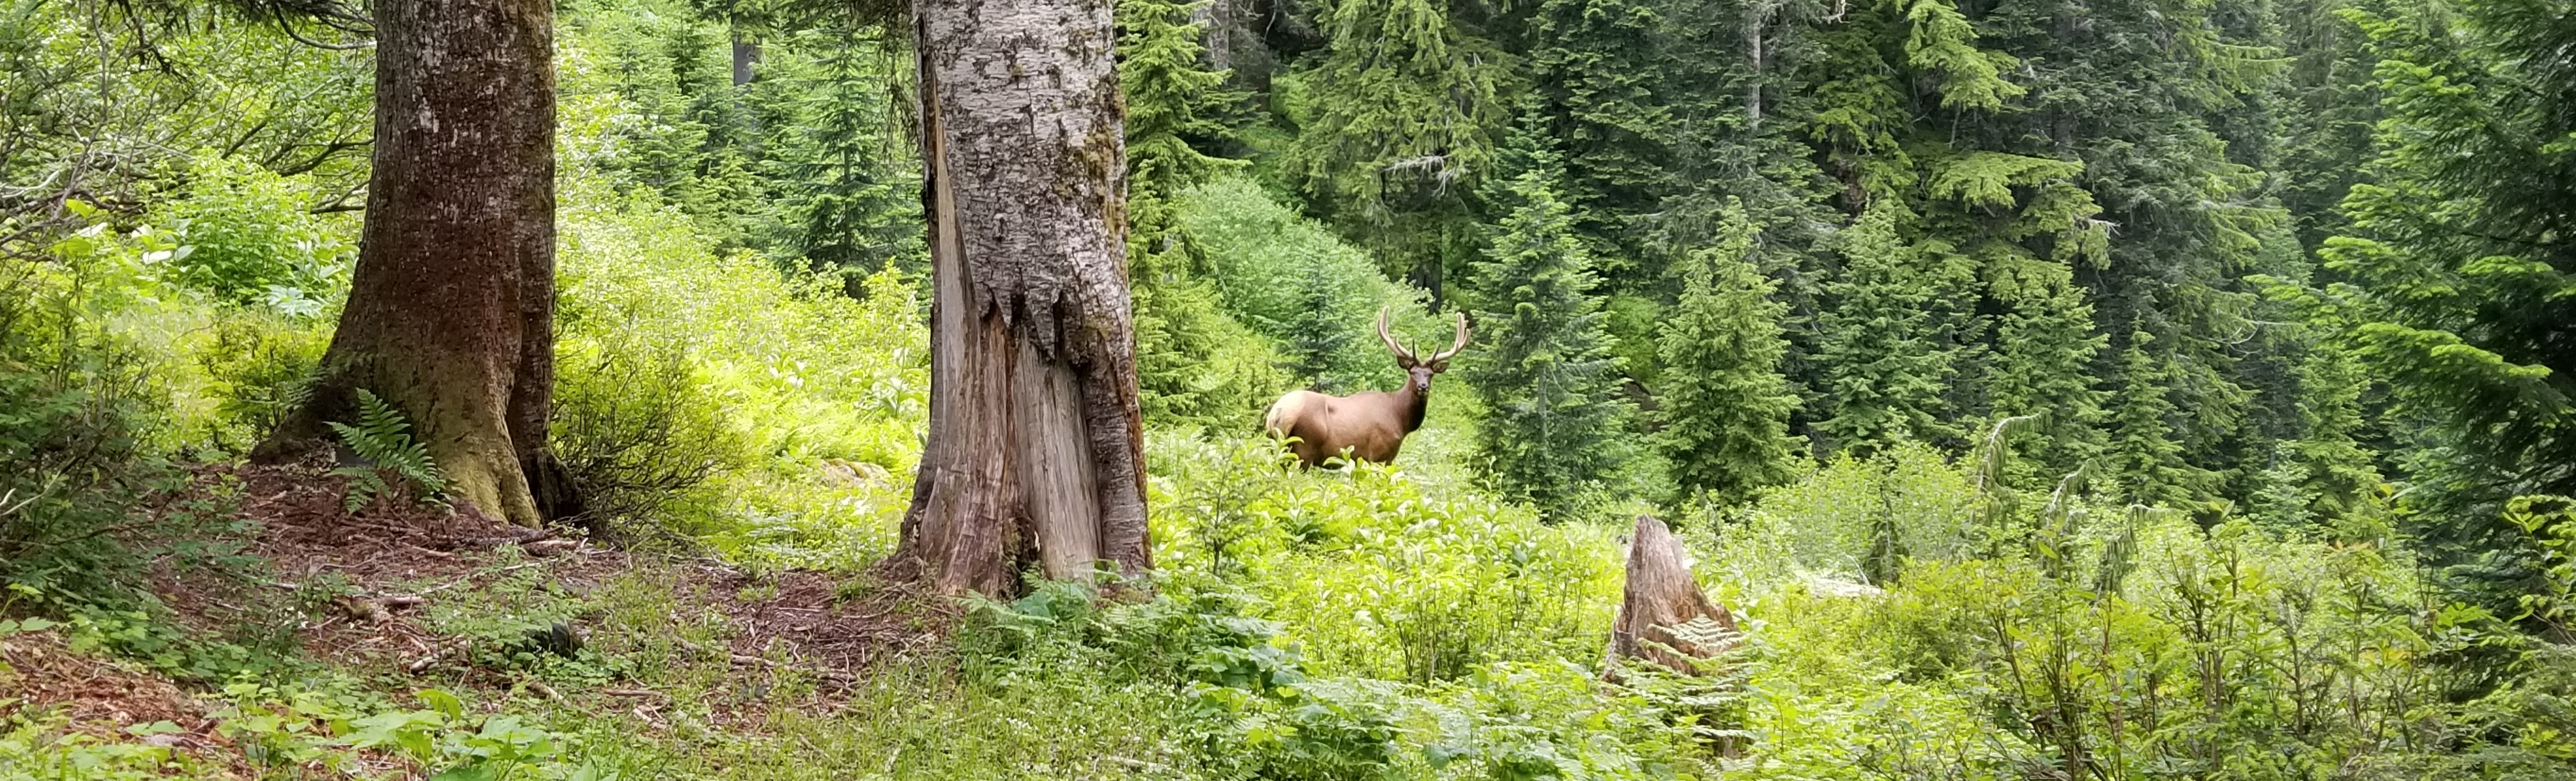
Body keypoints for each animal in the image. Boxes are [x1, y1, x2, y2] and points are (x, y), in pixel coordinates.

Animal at [1262, 306, 1470, 467]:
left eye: (1430, 374)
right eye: (1412, 373)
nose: (1423, 386)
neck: (1401, 420)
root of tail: (1277, 414)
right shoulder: (1380, 455)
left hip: (1278, 446)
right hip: (1304, 447)